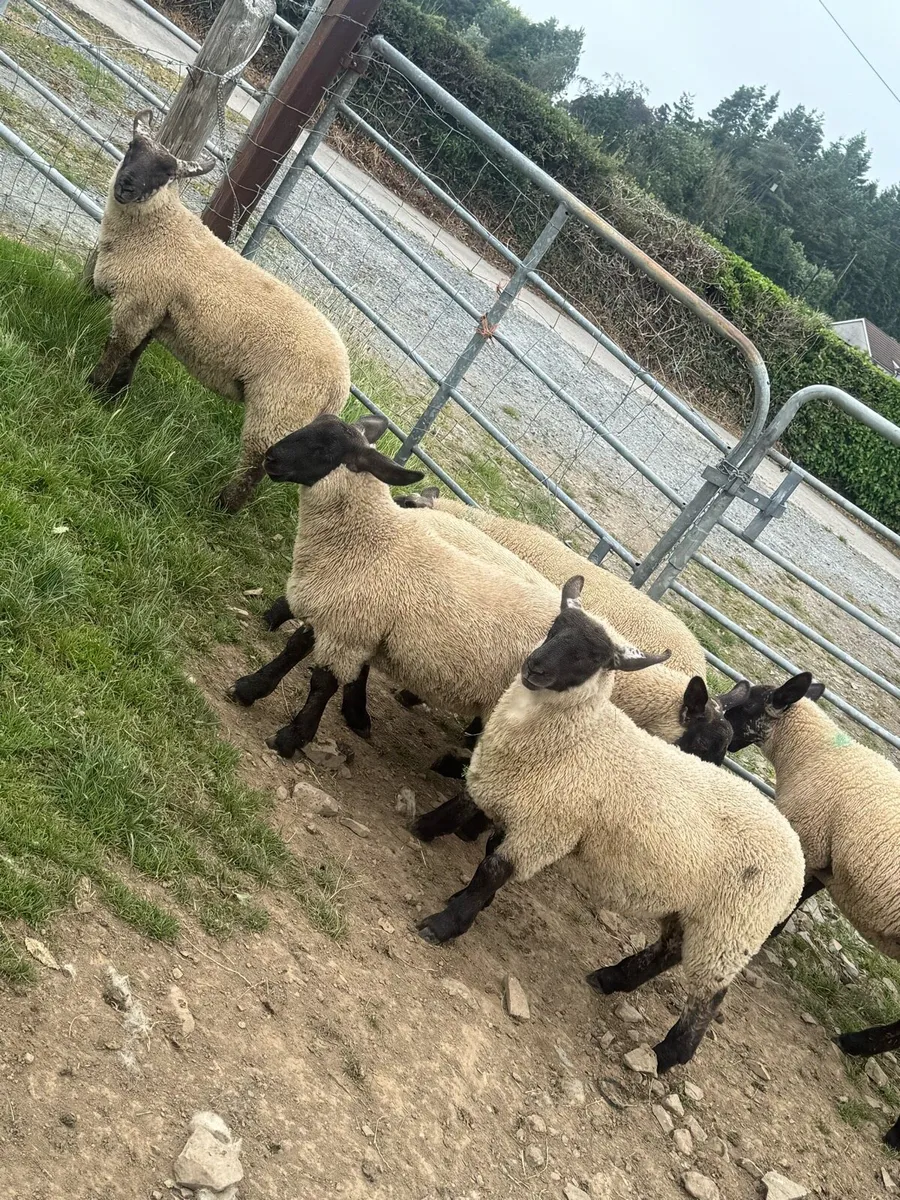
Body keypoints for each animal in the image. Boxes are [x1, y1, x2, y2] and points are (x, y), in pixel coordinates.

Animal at [89, 110, 351, 512]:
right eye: (133, 147)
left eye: (167, 173)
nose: (128, 186)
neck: (159, 232)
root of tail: (341, 384)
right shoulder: (155, 309)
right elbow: (133, 354)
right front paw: (115, 396)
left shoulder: (138, 301)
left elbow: (116, 348)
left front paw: (91, 389)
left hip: (278, 406)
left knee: (256, 463)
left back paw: (223, 506)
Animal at [227, 414, 740, 770]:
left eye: (326, 446)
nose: (270, 458)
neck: (371, 538)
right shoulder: (342, 615)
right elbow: (296, 648)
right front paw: (251, 688)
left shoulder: (352, 625)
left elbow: (320, 683)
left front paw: (291, 738)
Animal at [415, 577, 805, 1074]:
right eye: (554, 627)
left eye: (593, 658)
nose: (534, 667)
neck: (579, 736)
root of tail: (796, 855)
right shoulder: (516, 796)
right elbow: (468, 815)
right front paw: (424, 827)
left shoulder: (549, 827)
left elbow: (491, 871)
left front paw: (445, 923)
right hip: (698, 911)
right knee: (668, 951)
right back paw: (612, 979)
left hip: (732, 927)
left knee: (710, 997)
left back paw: (666, 1055)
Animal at [724, 671, 900, 1148]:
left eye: (748, 705)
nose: (723, 733)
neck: (813, 753)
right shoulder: (825, 857)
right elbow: (805, 893)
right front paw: (776, 932)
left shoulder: (809, 834)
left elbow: (798, 891)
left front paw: (768, 933)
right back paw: (857, 1044)